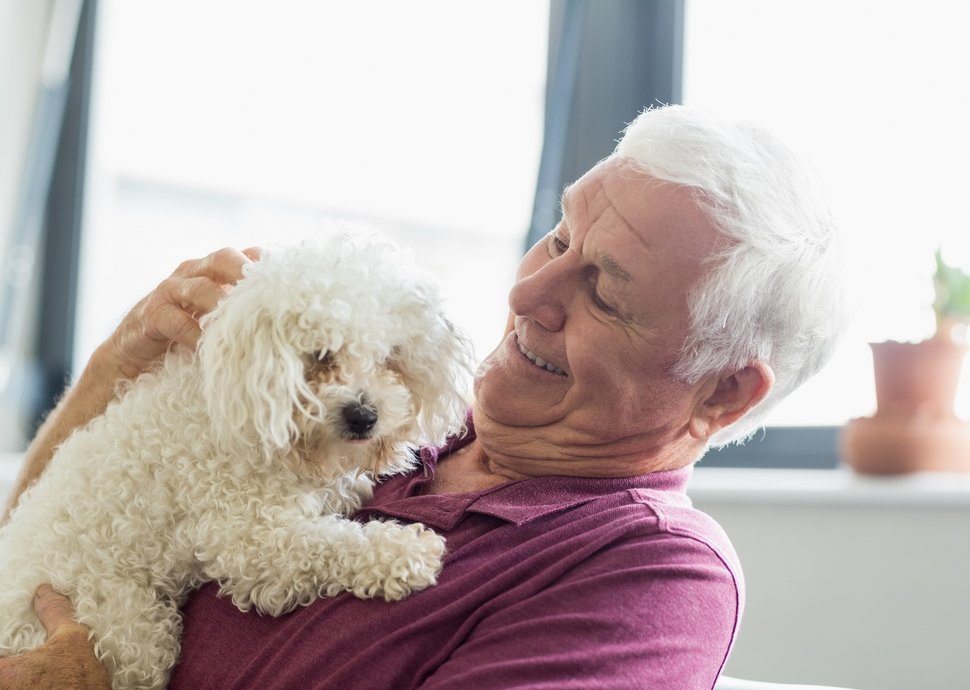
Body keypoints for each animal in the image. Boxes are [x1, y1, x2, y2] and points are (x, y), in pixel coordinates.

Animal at [0, 230, 472, 688]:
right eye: (320, 355)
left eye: (390, 356)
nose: (363, 416)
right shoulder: (252, 541)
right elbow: (330, 544)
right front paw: (401, 551)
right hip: (130, 629)